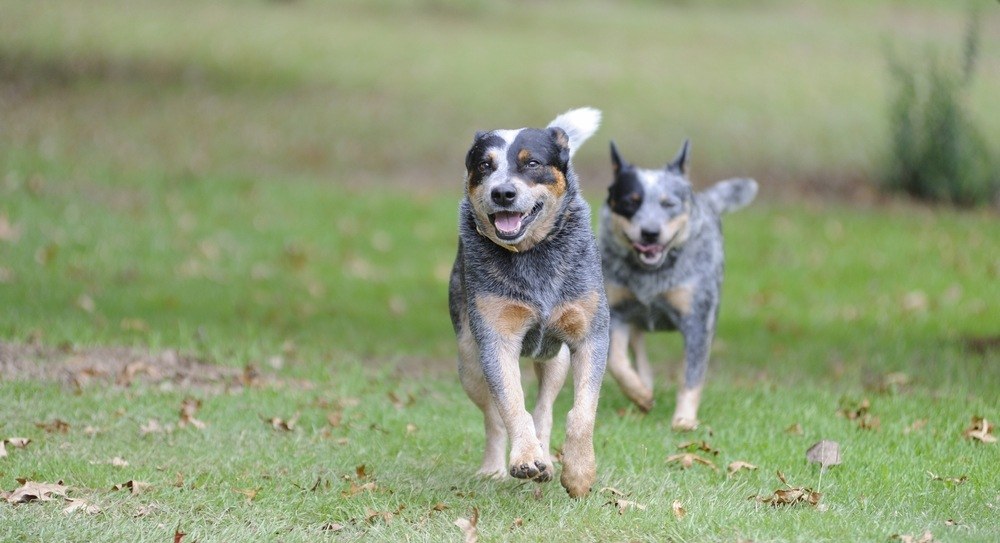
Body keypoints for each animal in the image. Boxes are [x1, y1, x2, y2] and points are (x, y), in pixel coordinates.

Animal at [448, 107, 608, 498]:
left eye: (532, 162)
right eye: (485, 165)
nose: (503, 192)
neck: (532, 255)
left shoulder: (591, 334)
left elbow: (582, 412)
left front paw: (579, 473)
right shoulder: (496, 338)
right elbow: (511, 405)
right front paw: (525, 459)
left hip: (555, 358)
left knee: (545, 408)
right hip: (468, 358)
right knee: (492, 416)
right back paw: (496, 468)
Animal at [596, 138, 752, 432]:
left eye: (668, 203)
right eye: (630, 202)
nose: (650, 233)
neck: (650, 277)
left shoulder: (697, 320)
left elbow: (691, 376)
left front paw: (684, 419)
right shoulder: (617, 312)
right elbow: (617, 362)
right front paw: (640, 395)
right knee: (638, 350)